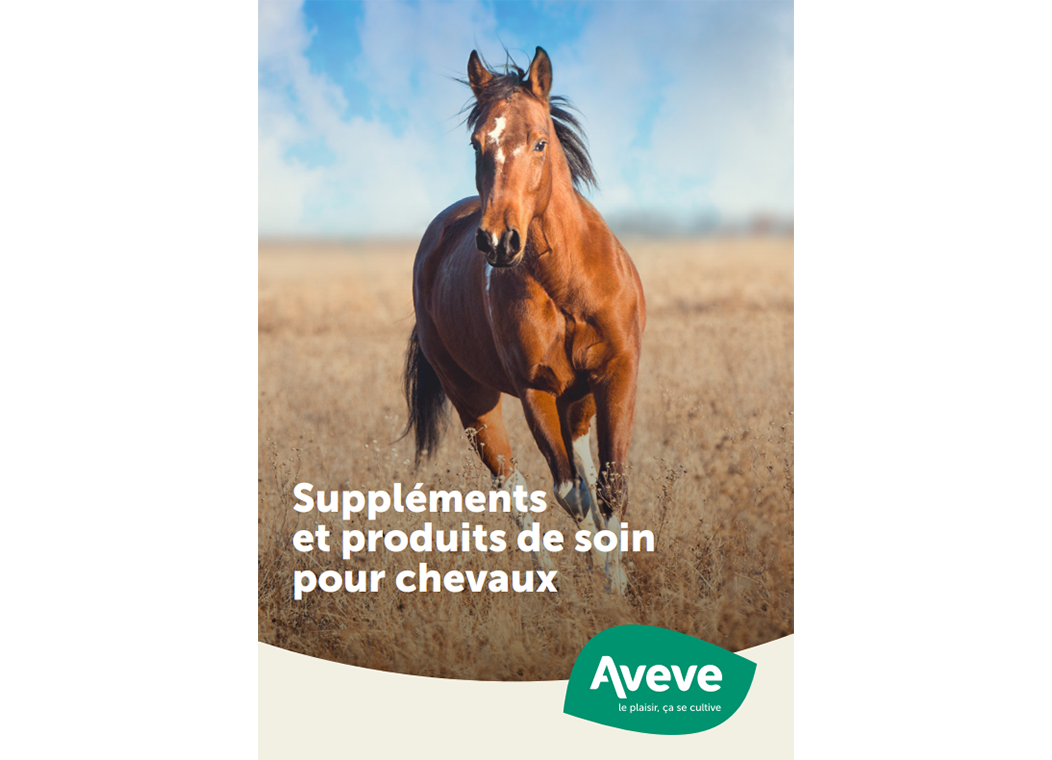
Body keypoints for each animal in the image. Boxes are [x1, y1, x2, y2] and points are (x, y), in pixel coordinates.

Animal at [402, 47, 645, 593]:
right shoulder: (536, 391)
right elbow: (568, 492)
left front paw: (616, 580)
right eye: (477, 143)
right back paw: (549, 582)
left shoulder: (615, 374)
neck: (568, 284)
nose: (498, 241)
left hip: (577, 400)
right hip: (474, 402)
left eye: (539, 142)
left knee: (581, 468)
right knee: (509, 485)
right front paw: (603, 580)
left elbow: (609, 484)